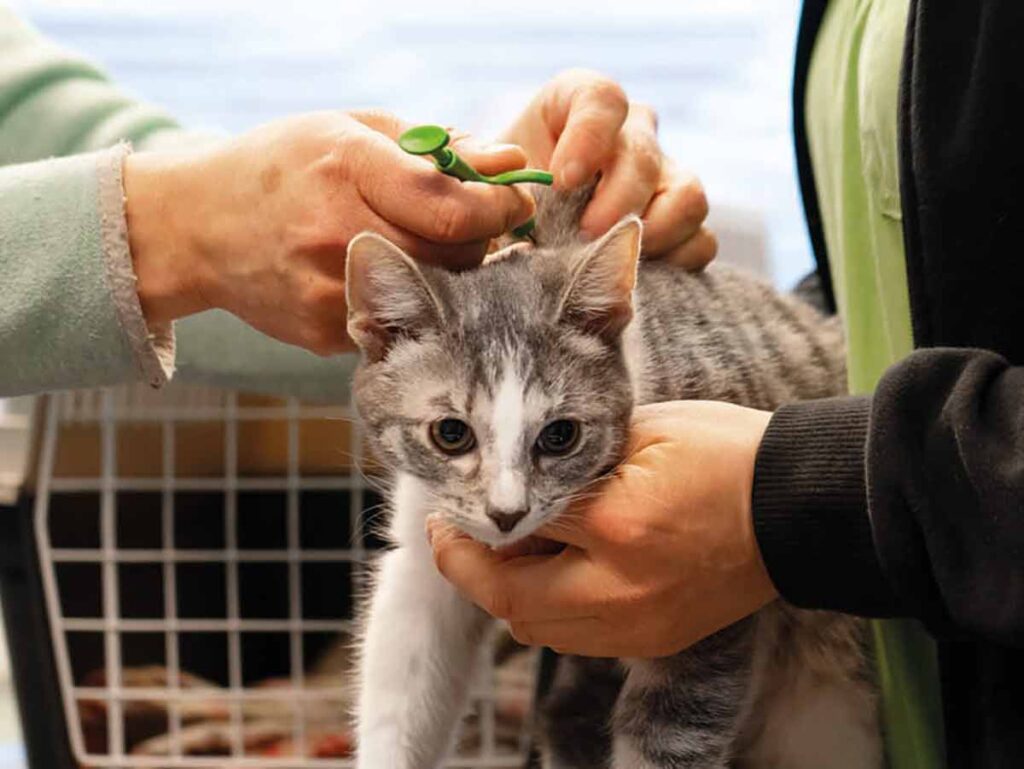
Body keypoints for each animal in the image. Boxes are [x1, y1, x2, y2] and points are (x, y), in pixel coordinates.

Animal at [344, 188, 880, 769]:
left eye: (560, 435)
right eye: (450, 433)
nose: (507, 513)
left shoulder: (703, 616)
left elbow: (671, 730)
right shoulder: (424, 546)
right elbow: (405, 669)